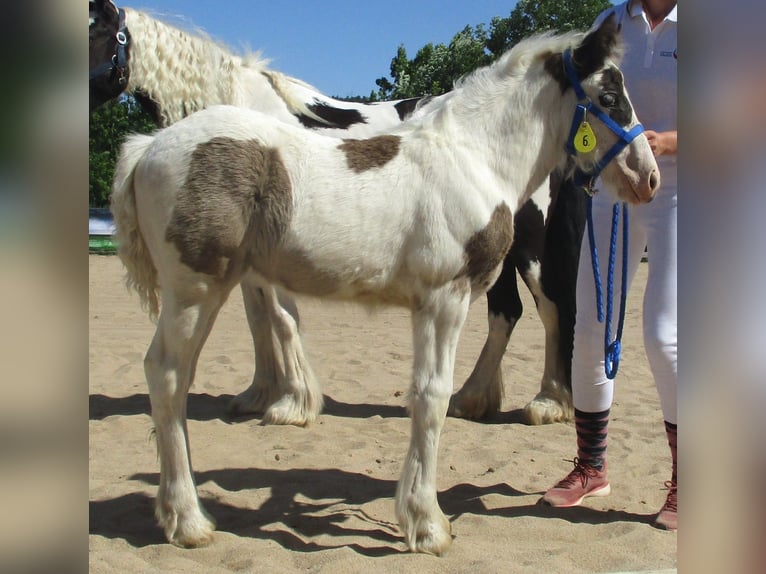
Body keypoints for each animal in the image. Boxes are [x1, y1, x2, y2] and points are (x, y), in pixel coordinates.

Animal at [91, 0, 588, 428]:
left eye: (96, 29)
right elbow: (258, 320)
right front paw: (259, 393)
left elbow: (281, 319)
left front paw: (293, 402)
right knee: (506, 313)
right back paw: (474, 397)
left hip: (529, 245)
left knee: (549, 307)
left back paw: (548, 402)